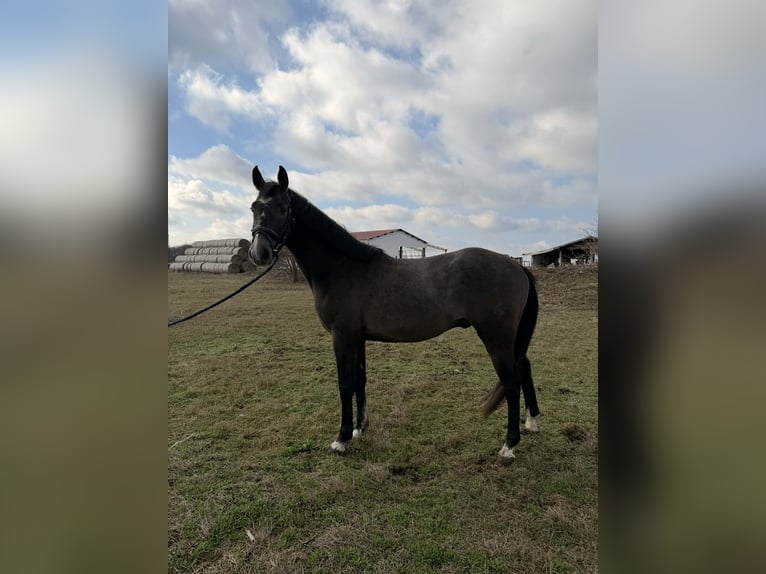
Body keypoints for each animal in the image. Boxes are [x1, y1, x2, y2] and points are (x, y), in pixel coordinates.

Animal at [248, 166, 540, 461]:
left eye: (283, 208)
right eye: (254, 207)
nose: (259, 253)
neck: (342, 268)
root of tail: (515, 266)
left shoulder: (342, 337)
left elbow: (345, 384)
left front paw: (342, 438)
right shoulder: (357, 338)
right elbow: (360, 380)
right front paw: (360, 428)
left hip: (497, 338)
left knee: (511, 383)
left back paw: (509, 445)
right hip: (510, 338)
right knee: (524, 367)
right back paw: (532, 422)